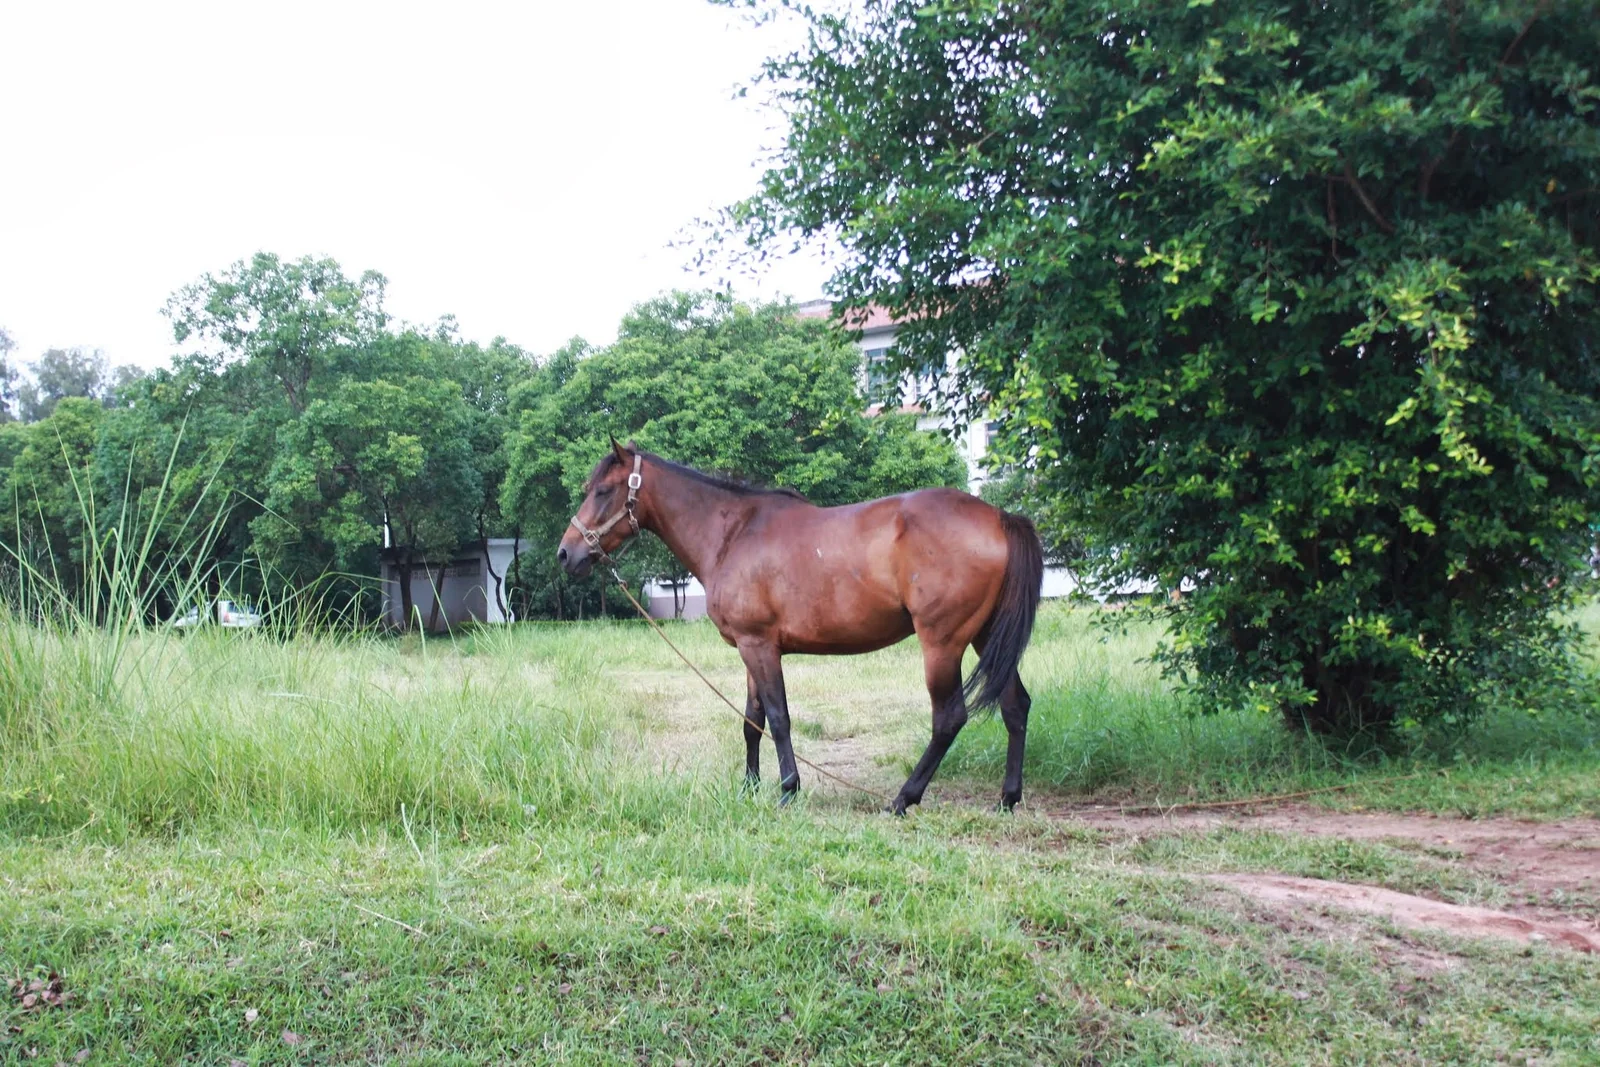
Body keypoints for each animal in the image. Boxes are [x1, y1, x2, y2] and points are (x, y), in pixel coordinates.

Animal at [557, 439, 1044, 814]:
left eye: (603, 491)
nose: (566, 554)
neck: (733, 533)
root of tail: (999, 517)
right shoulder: (751, 649)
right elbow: (751, 720)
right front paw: (748, 788)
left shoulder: (759, 646)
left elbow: (777, 717)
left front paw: (788, 789)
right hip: (987, 638)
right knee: (1015, 706)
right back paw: (1007, 798)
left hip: (942, 643)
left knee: (949, 718)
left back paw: (904, 798)